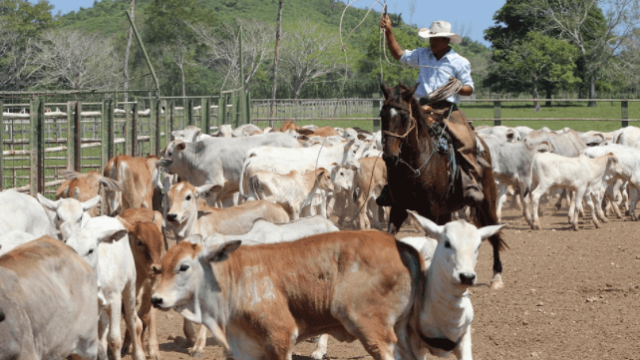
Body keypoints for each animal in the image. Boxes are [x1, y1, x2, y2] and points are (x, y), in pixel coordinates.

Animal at [382, 82, 508, 290]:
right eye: (382, 115)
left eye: (405, 117)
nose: (390, 157)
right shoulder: (398, 208)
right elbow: (390, 234)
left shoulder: (430, 209)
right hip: (446, 210)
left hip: (487, 201)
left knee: (494, 231)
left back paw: (497, 276)